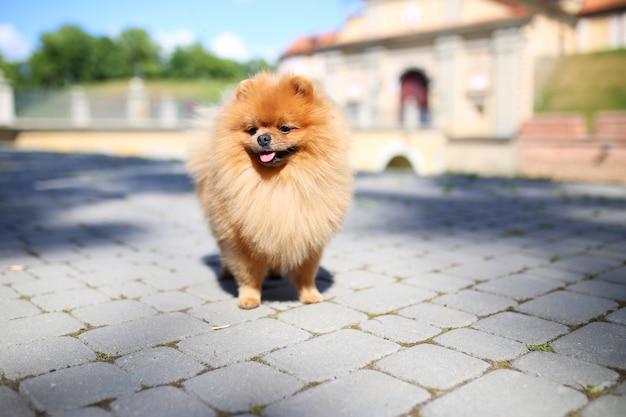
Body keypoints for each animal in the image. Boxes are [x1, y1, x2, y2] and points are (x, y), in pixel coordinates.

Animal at [185, 71, 352, 308]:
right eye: (252, 130)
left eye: (285, 128)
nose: (262, 137)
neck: (279, 183)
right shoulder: (241, 241)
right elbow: (248, 274)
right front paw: (249, 298)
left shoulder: (309, 232)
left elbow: (306, 272)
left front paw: (310, 295)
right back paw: (227, 272)